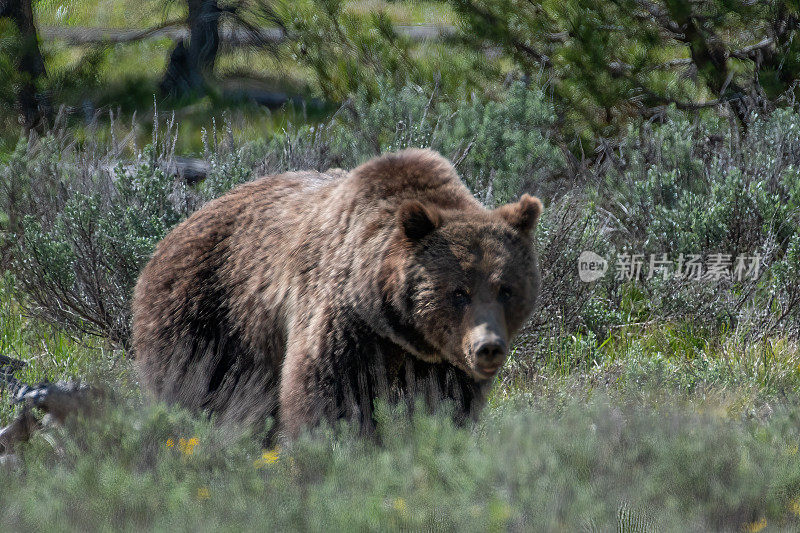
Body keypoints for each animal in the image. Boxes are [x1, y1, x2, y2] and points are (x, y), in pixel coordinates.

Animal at [133, 147, 544, 436]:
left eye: (505, 289)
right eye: (459, 292)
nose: (488, 346)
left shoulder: (439, 360)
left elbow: (443, 404)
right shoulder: (342, 317)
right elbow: (329, 392)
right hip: (208, 314)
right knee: (199, 386)